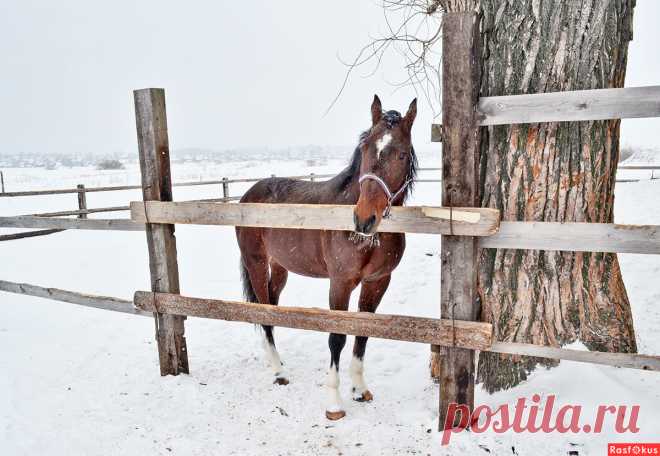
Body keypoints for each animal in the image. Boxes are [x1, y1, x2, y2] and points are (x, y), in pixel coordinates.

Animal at [236, 96, 418, 420]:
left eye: (401, 155)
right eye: (366, 148)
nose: (363, 220)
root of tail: (248, 194)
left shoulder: (377, 282)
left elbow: (363, 333)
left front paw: (360, 389)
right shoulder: (340, 283)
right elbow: (337, 337)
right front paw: (334, 404)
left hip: (279, 267)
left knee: (272, 305)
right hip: (255, 262)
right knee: (263, 311)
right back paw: (279, 371)